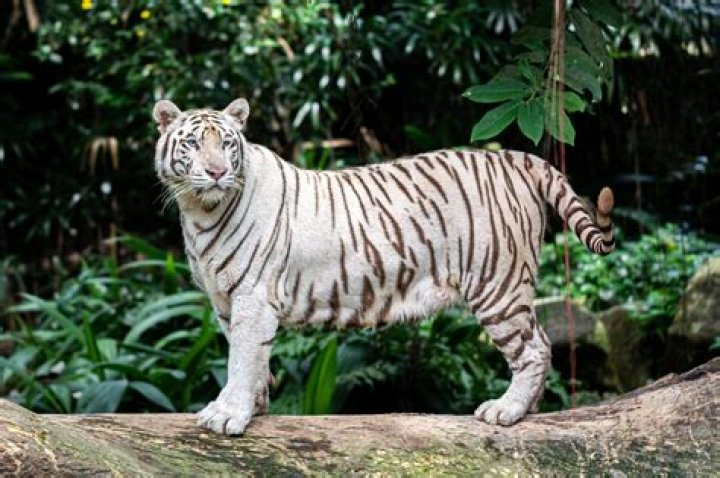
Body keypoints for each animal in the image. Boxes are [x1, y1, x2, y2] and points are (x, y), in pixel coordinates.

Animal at [152, 97, 615, 436]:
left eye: (228, 144)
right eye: (192, 144)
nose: (217, 172)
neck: (199, 212)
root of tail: (516, 158)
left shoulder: (252, 296)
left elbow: (241, 357)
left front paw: (228, 414)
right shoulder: (225, 301)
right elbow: (250, 358)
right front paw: (254, 405)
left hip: (496, 284)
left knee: (535, 347)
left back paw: (508, 410)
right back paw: (530, 409)